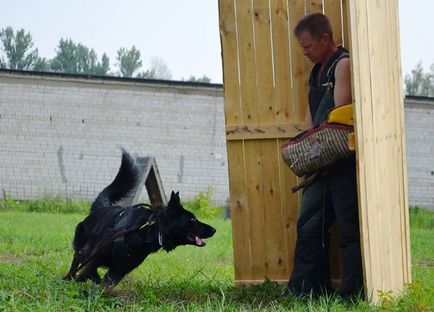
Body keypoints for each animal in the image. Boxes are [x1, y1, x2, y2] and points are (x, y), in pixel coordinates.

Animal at [62, 150, 215, 292]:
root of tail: (102, 207)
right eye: (192, 219)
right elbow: (87, 273)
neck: (150, 230)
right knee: (76, 261)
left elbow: (105, 284)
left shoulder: (121, 269)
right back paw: (67, 279)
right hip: (84, 249)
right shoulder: (98, 256)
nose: (214, 229)